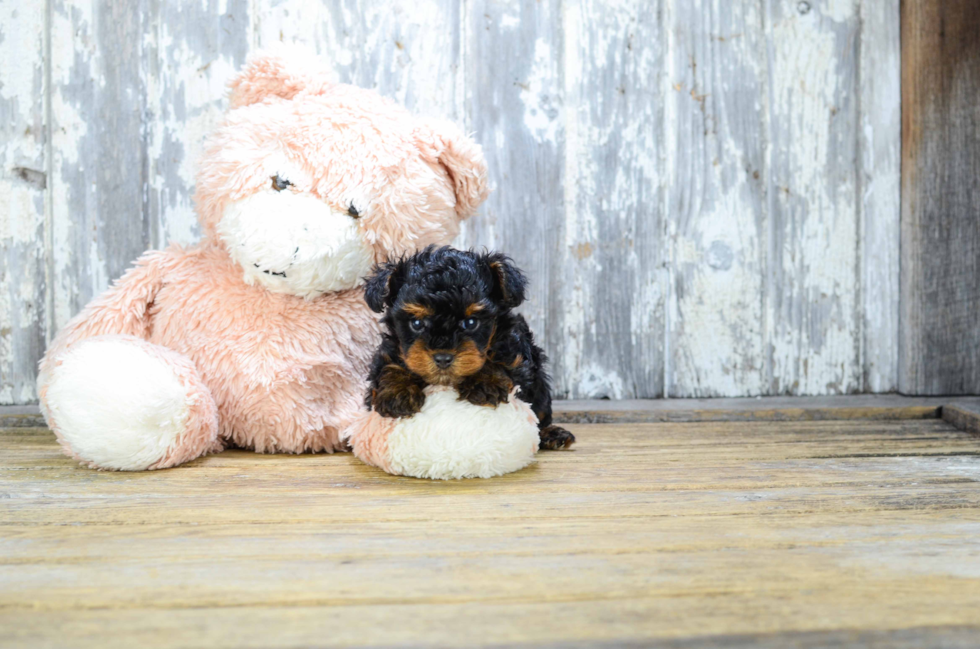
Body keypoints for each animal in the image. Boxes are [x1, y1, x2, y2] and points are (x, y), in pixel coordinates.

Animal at [362, 246, 576, 448]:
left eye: (471, 322)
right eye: (416, 323)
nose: (443, 358)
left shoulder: (517, 353)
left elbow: (502, 359)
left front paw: (486, 381)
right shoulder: (390, 351)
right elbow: (389, 365)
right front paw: (397, 391)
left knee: (540, 414)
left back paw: (552, 434)